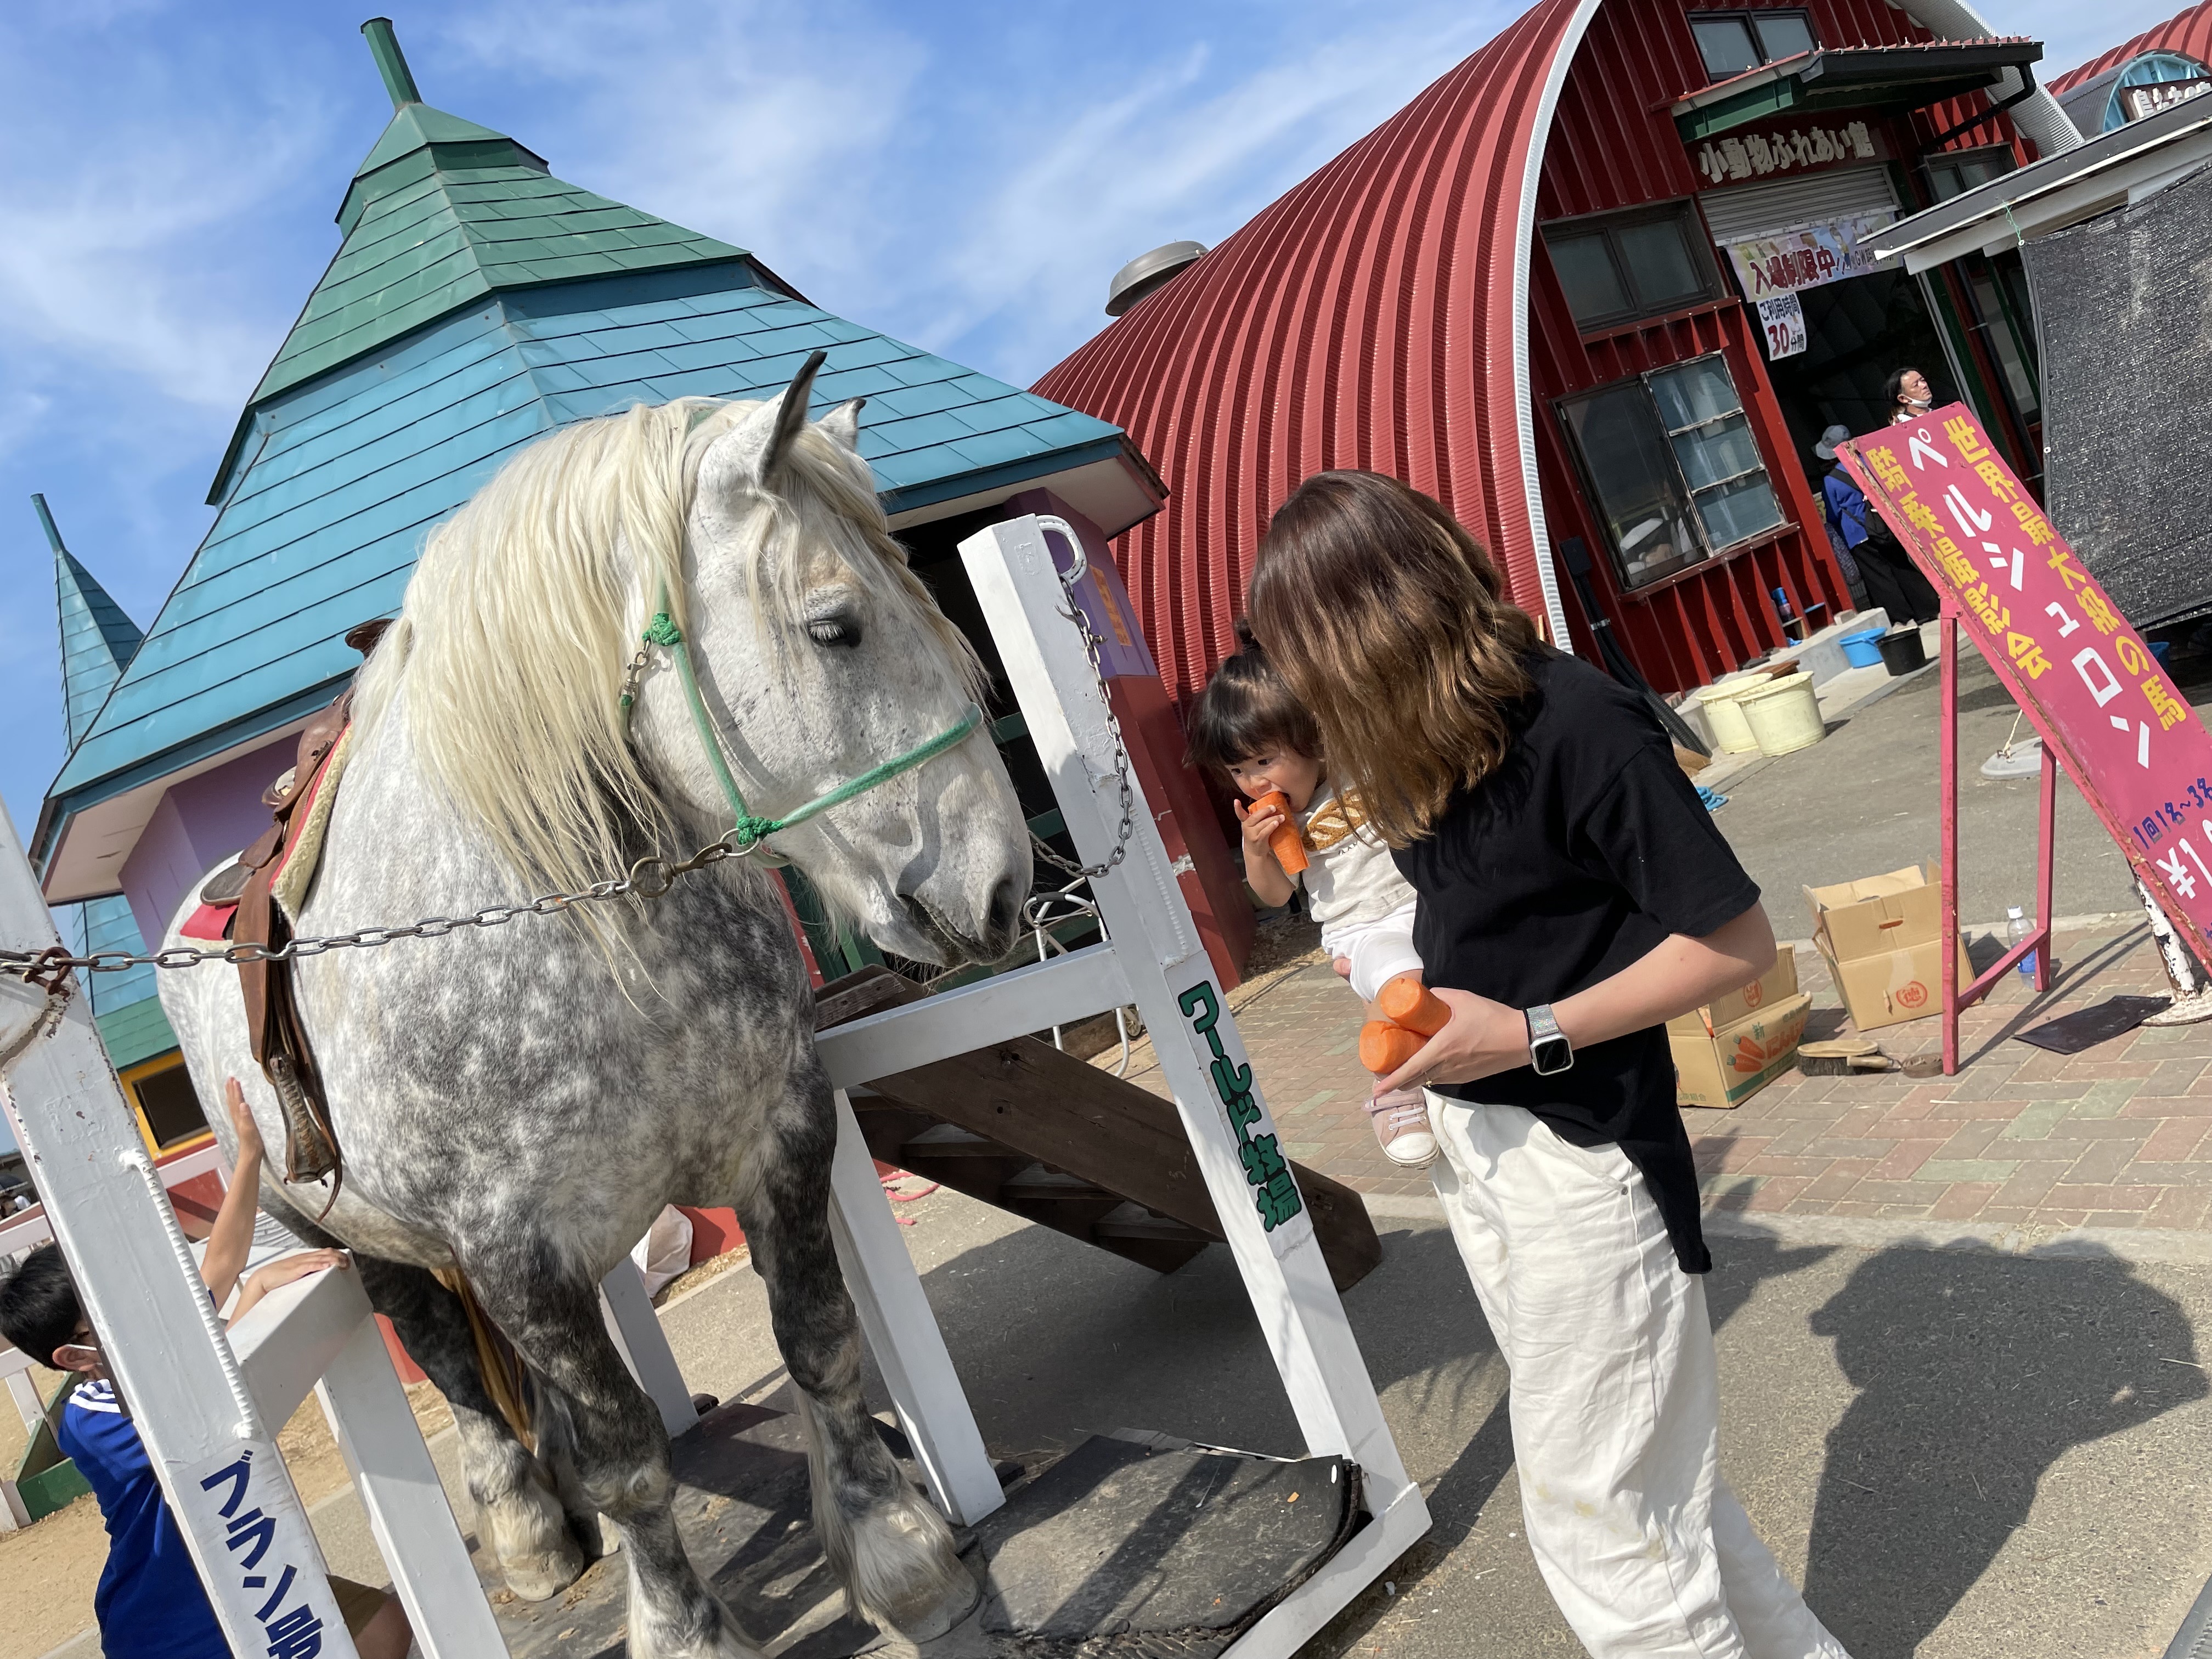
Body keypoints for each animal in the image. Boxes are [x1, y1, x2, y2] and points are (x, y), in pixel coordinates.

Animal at [160, 369, 1030, 1659]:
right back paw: (526, 1522)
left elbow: (819, 1339)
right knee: (449, 1361)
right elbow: (629, 1463)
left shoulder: (782, 1130)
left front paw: (898, 1552)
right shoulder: (514, 1253)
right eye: (835, 625)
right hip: (345, 1233)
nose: (1001, 887)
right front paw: (683, 1625)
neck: (568, 915)